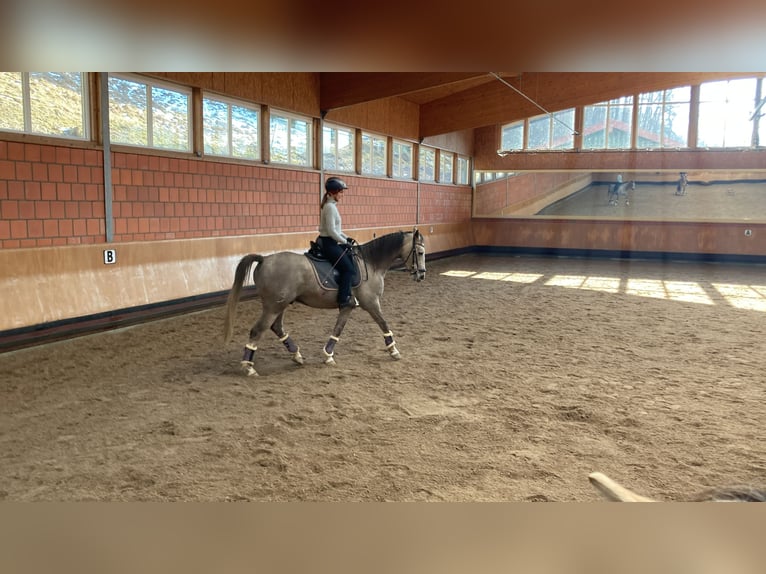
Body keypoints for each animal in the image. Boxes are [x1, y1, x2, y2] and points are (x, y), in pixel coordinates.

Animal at [223, 229, 426, 376]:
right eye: (420, 252)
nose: (422, 275)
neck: (371, 264)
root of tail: (264, 259)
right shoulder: (371, 303)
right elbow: (383, 323)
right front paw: (393, 350)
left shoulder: (348, 306)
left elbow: (338, 329)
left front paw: (328, 355)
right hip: (273, 306)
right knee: (258, 330)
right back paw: (249, 367)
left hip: (280, 305)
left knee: (276, 327)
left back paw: (296, 355)